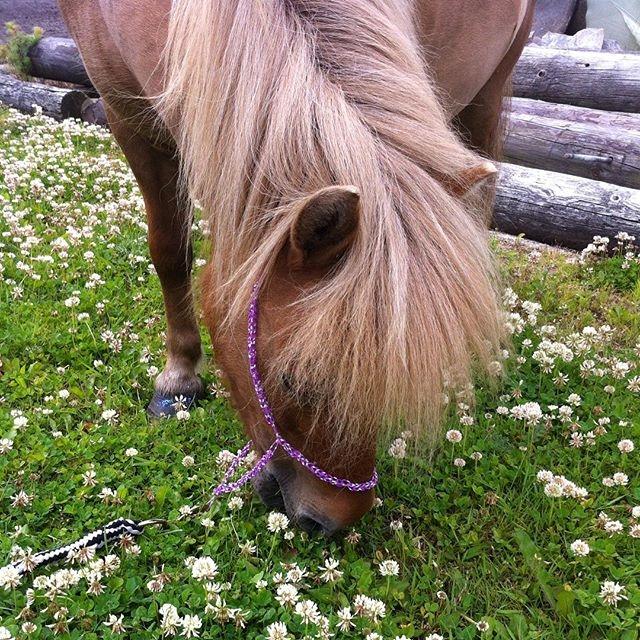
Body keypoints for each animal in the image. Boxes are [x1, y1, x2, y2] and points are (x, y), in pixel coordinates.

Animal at [60, 0, 536, 532]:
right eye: (294, 381)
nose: (332, 522)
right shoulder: (126, 112)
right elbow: (169, 251)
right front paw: (179, 376)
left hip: (487, 92)